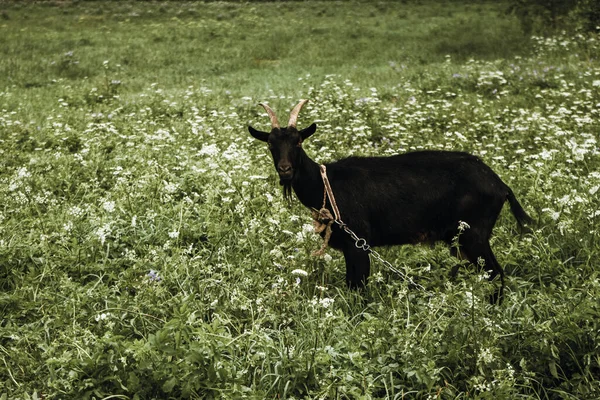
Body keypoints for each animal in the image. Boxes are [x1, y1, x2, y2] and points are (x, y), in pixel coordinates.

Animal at [251, 100, 532, 304]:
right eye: (270, 144)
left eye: (298, 141)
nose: (285, 170)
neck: (326, 185)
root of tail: (501, 186)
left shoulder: (359, 243)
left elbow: (358, 287)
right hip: (462, 240)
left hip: (474, 234)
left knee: (495, 273)